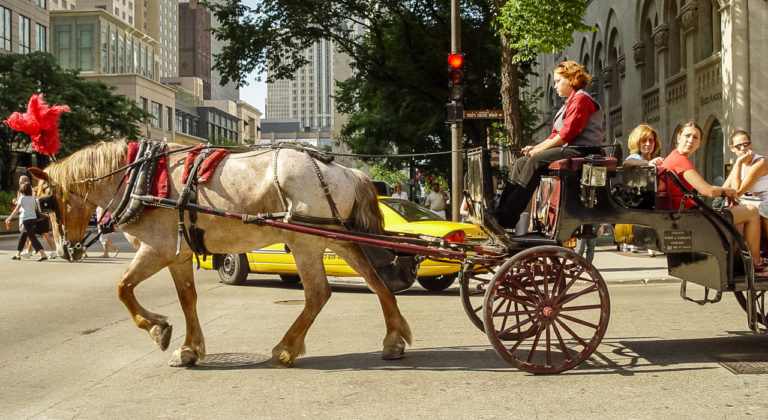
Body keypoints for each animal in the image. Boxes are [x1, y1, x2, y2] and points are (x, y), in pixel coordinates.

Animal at [29, 139, 412, 368]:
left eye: (46, 201)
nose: (65, 250)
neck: (142, 178)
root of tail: (345, 170)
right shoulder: (179, 255)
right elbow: (188, 300)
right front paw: (188, 348)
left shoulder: (156, 250)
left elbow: (123, 288)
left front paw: (157, 329)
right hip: (337, 237)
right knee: (377, 282)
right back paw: (394, 339)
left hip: (305, 242)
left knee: (319, 293)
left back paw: (285, 349)